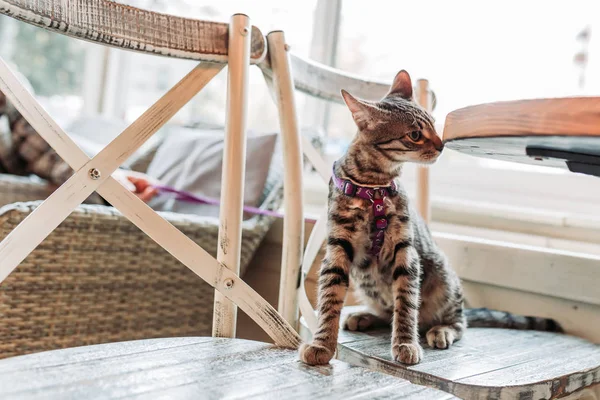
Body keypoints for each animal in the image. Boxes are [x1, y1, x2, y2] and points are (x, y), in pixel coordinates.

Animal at [300, 69, 564, 366]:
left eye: (435, 126)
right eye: (415, 134)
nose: (441, 146)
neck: (374, 188)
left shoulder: (406, 251)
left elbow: (406, 304)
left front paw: (405, 342)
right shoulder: (337, 249)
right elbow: (329, 299)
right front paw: (322, 344)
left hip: (444, 280)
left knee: (458, 322)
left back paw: (441, 329)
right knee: (388, 312)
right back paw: (365, 316)